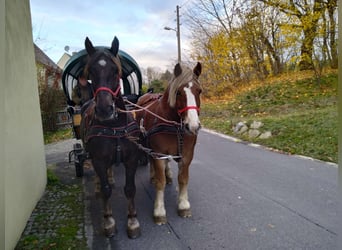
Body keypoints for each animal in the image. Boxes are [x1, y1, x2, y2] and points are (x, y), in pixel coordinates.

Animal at [80, 36, 143, 238]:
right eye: (91, 72)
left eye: (116, 71)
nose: (104, 110)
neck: (114, 125)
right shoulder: (98, 160)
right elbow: (106, 191)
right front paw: (108, 221)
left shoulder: (131, 159)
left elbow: (130, 189)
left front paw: (132, 221)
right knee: (100, 179)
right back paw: (98, 187)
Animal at [135, 62, 202, 225]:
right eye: (178, 93)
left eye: (200, 91)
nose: (193, 126)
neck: (173, 125)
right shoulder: (158, 154)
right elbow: (161, 182)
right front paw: (159, 211)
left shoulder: (187, 155)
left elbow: (183, 179)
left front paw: (183, 205)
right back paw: (153, 176)